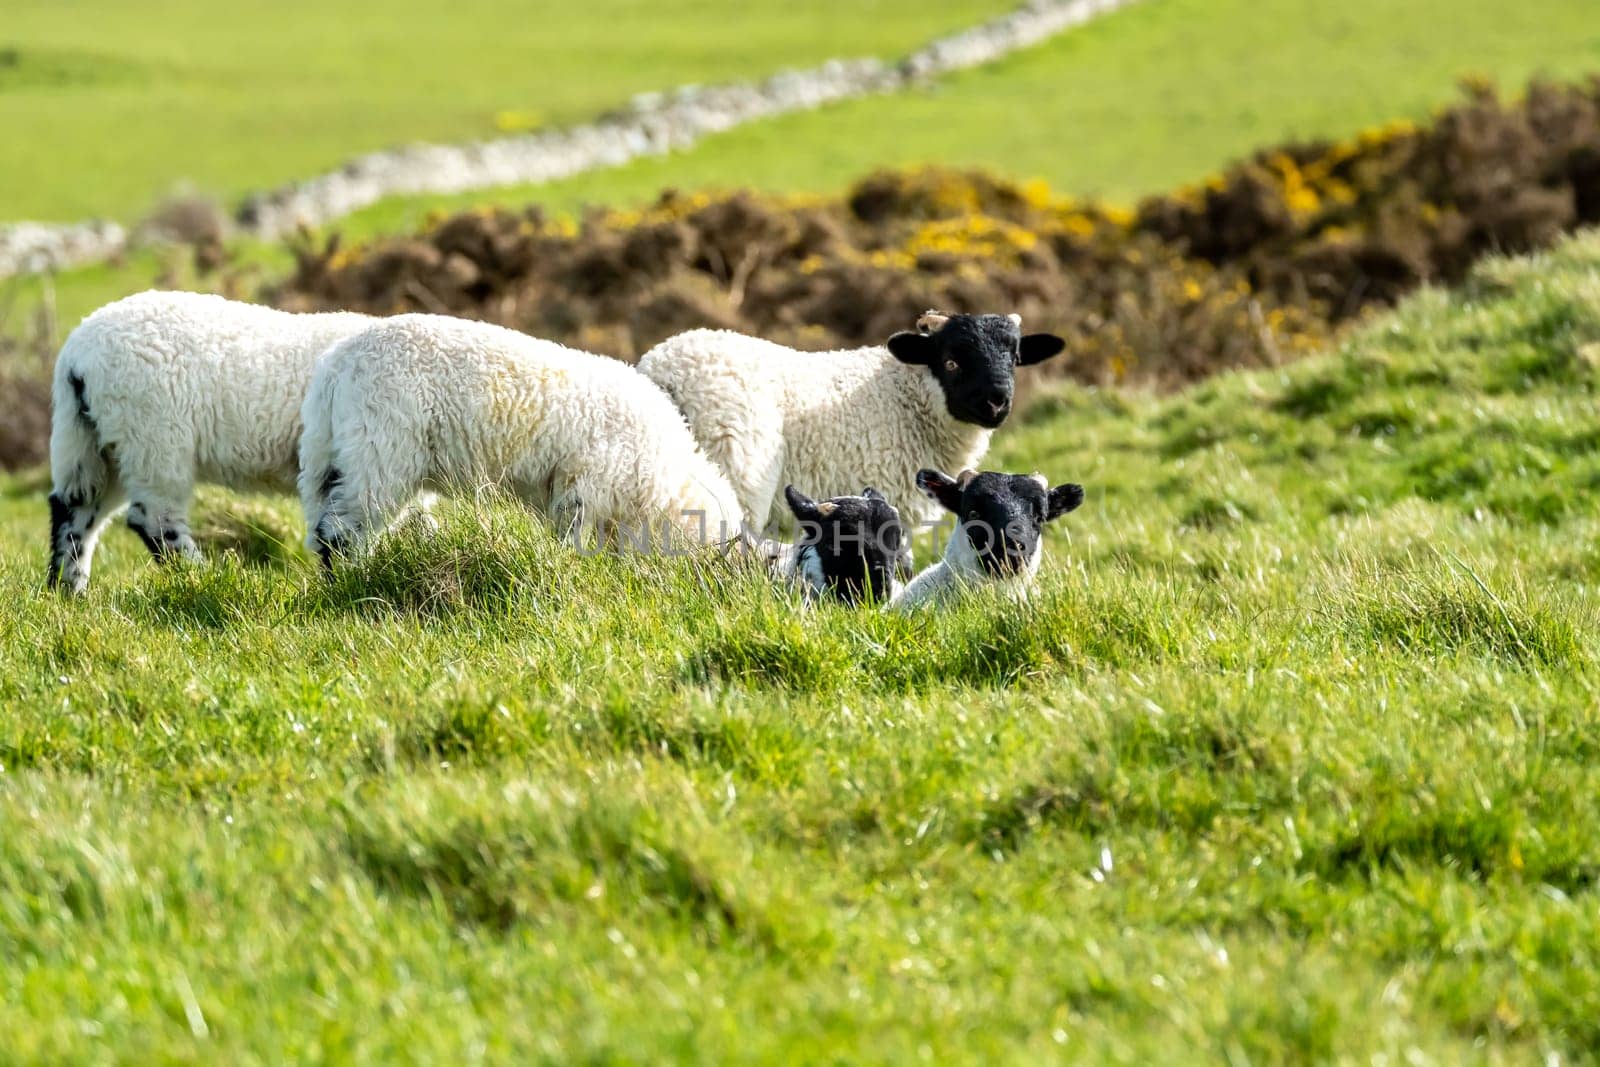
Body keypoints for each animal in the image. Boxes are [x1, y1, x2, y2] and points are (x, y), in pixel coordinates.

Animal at [46, 287, 374, 598]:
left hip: (98, 440)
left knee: (74, 510)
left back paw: (69, 590)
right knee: (153, 517)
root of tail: (75, 356)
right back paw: (199, 576)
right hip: (153, 432)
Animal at [633, 313, 1062, 537]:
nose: (996, 402)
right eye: (952, 361)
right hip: (735, 471)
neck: (906, 394)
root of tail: (665, 370)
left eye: (1015, 357)